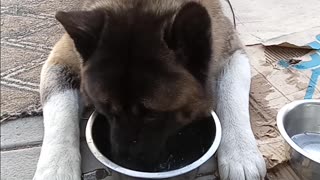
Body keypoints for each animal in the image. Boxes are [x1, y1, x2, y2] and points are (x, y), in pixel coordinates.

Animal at [33, 0, 266, 179]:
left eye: (153, 114)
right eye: (105, 109)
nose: (124, 163)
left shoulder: (231, 49)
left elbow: (232, 97)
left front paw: (241, 154)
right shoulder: (62, 60)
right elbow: (60, 114)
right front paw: (55, 167)